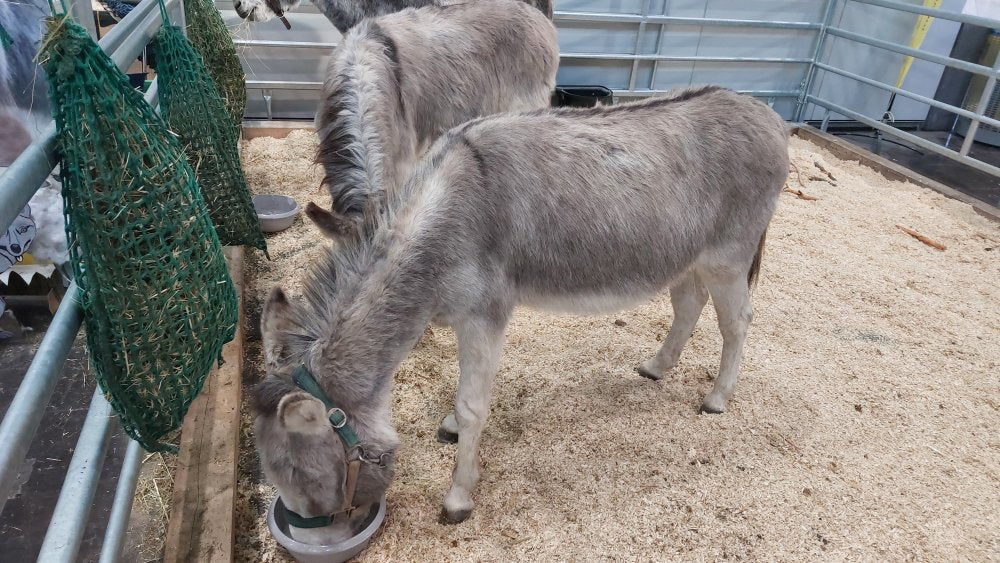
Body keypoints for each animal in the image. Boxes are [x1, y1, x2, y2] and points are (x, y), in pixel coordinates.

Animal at [253, 86, 789, 541]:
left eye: (299, 471)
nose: (320, 538)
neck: (438, 219)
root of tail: (764, 113)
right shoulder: (463, 318)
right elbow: (463, 392)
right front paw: (450, 428)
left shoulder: (484, 314)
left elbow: (474, 404)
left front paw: (458, 497)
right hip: (686, 256)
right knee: (688, 304)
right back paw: (658, 366)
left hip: (727, 258)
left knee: (738, 321)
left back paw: (716, 398)